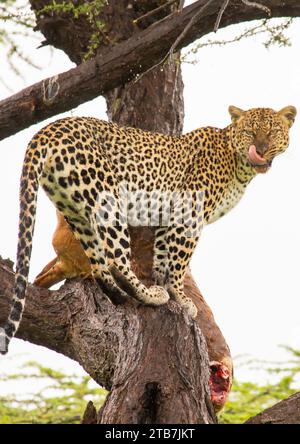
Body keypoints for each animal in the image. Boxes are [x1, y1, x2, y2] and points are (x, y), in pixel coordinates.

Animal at [0, 104, 296, 354]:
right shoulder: (189, 214)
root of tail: (45, 131)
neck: (238, 164)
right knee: (117, 261)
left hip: (75, 209)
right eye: (250, 131)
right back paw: (148, 295)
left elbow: (164, 257)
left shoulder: (169, 218)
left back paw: (124, 296)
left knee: (100, 266)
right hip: (106, 198)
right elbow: (178, 263)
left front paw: (166, 288)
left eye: (271, 132)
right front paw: (180, 298)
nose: (260, 148)